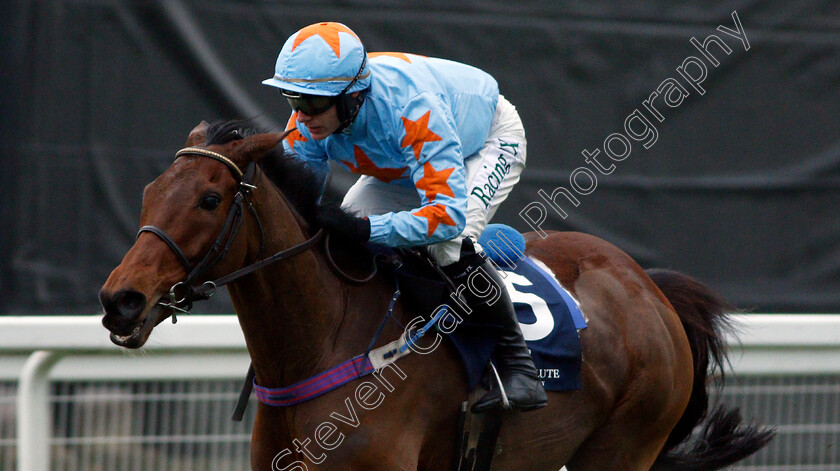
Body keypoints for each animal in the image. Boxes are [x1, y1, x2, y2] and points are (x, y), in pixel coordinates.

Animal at [97, 120, 768, 470]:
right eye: (150, 192)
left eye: (210, 200)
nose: (120, 300)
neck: (326, 339)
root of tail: (650, 288)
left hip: (625, 446)